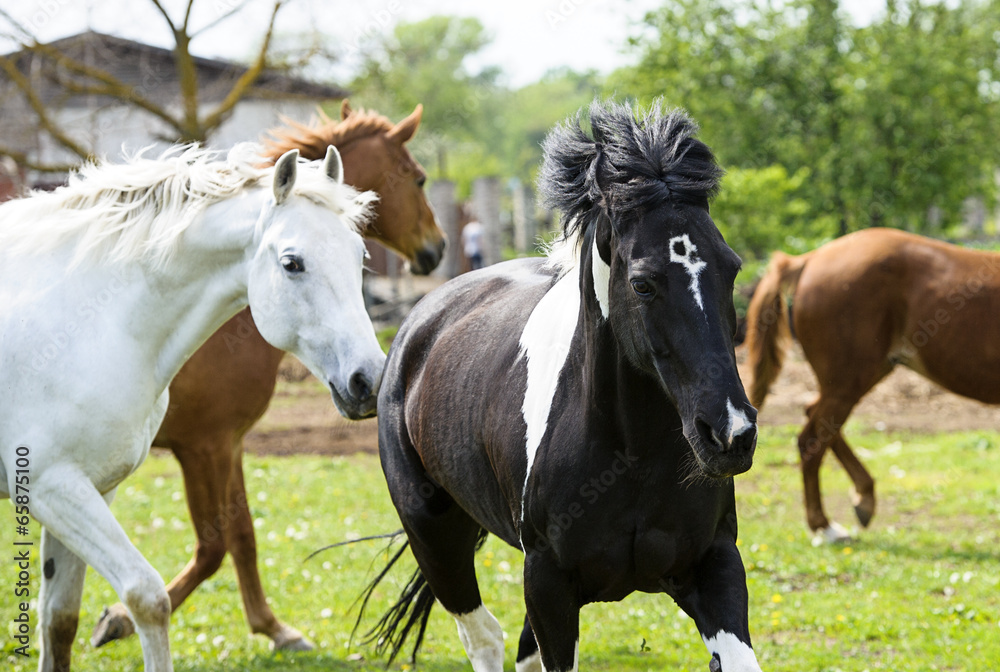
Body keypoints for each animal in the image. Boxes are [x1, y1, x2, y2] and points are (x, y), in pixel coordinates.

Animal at [0, 144, 386, 668]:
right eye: (292, 263)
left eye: (358, 255)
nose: (369, 380)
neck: (90, 319)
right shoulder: (52, 487)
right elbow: (147, 597)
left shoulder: (91, 489)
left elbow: (59, 620)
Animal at [93, 100, 446, 652]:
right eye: (419, 178)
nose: (437, 249)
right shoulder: (204, 447)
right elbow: (213, 548)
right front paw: (120, 619)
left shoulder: (230, 444)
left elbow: (242, 536)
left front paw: (271, 627)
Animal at [370, 100, 764, 672]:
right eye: (642, 284)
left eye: (732, 269)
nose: (731, 434)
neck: (630, 455)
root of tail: (421, 318)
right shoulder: (548, 585)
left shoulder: (715, 565)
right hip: (435, 536)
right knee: (483, 638)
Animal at [744, 228, 1000, 544]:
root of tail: (809, 258)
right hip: (849, 380)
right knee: (811, 440)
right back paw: (825, 527)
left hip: (857, 377)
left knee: (816, 418)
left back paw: (862, 500)